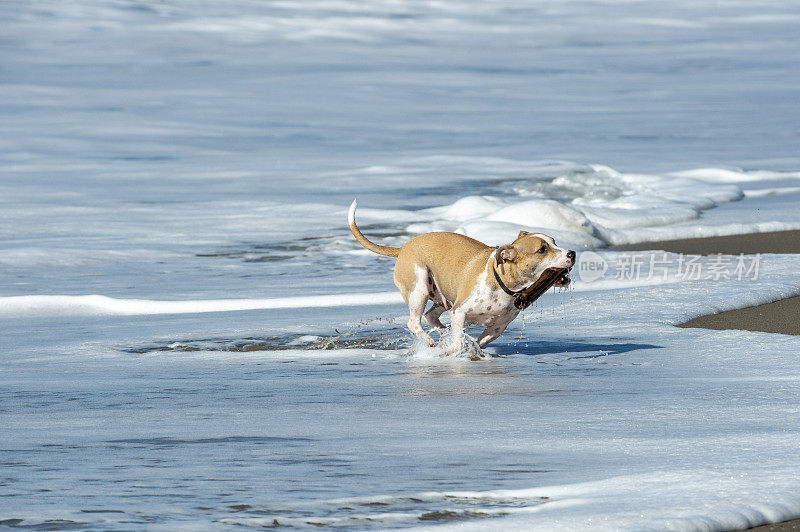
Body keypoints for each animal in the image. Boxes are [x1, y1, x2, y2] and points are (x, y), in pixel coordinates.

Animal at [348, 202, 576, 352]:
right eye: (542, 250)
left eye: (555, 242)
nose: (572, 253)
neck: (503, 284)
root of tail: (403, 247)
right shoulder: (459, 311)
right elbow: (459, 339)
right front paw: (457, 350)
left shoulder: (498, 327)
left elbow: (479, 340)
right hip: (419, 288)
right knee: (414, 322)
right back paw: (430, 341)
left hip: (444, 295)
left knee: (431, 316)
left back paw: (442, 335)